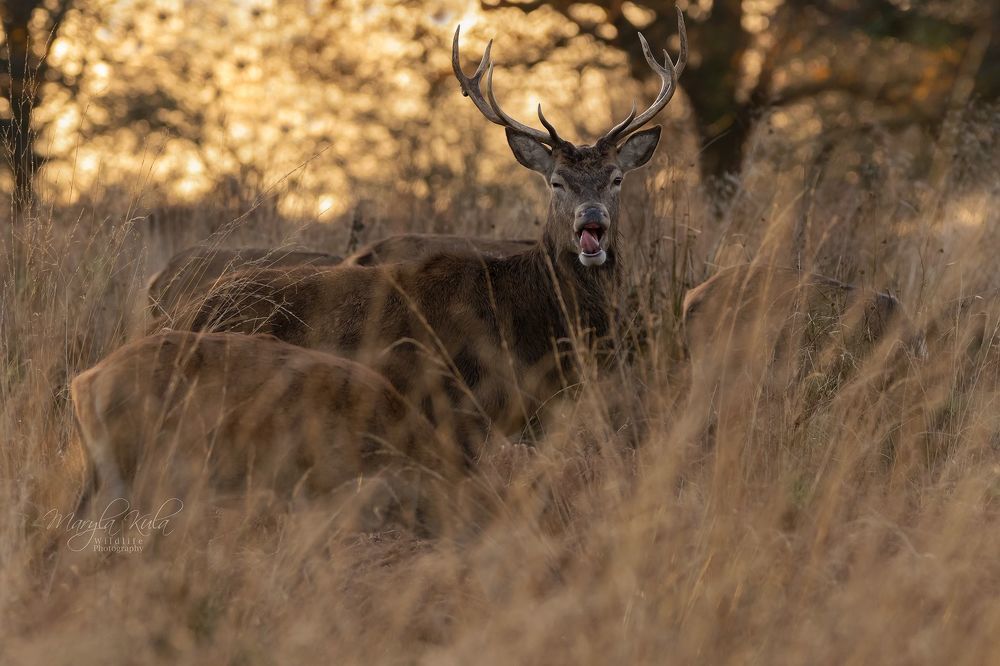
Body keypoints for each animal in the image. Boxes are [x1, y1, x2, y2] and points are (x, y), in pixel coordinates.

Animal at [178, 11, 688, 456]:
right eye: (556, 181)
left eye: (616, 178)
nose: (590, 218)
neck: (537, 324)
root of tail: (192, 311)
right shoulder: (465, 400)